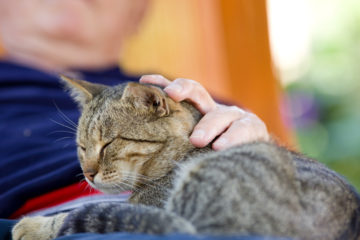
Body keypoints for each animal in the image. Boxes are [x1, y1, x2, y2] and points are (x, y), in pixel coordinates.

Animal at [12, 76, 360, 240]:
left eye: (108, 143)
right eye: (82, 147)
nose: (87, 173)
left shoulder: (150, 207)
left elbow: (73, 214)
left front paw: (32, 225)